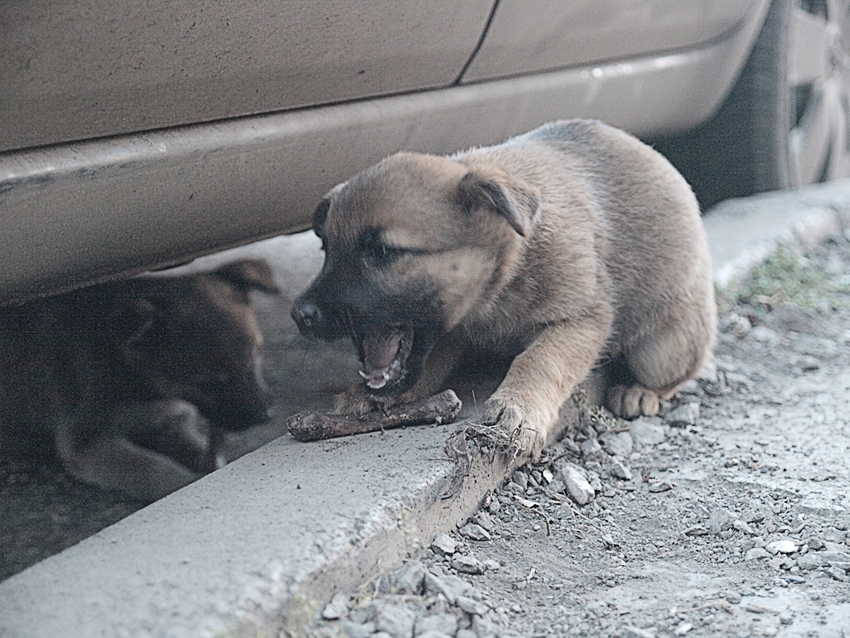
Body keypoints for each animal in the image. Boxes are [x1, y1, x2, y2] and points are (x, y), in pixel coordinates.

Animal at [0, 258, 278, 500]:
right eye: (209, 383)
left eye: (257, 356)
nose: (267, 415)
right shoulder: (89, 446)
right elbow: (157, 471)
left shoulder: (167, 420)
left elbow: (193, 444)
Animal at [292, 120, 716, 458]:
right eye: (326, 249)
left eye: (381, 252)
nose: (300, 314)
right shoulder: (447, 332)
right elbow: (426, 364)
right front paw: (368, 396)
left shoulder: (581, 319)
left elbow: (540, 359)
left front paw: (519, 407)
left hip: (662, 349)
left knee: (675, 373)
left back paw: (639, 391)